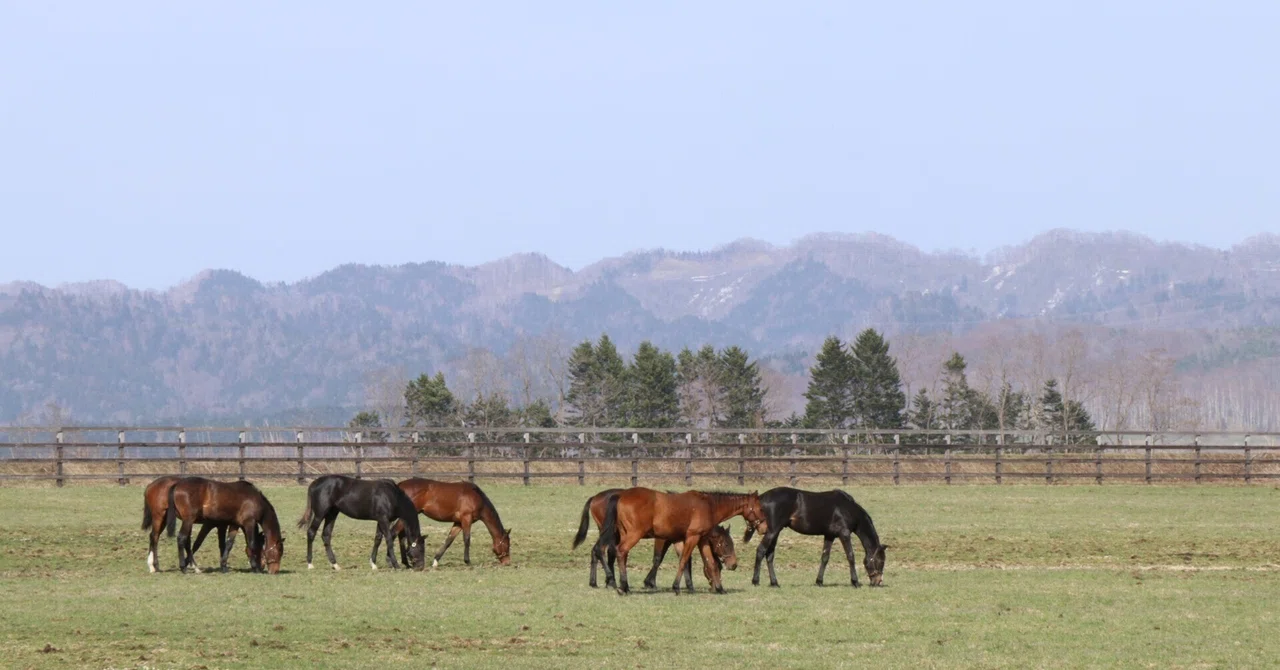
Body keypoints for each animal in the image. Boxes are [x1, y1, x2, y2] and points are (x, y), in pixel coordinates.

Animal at [297, 474, 425, 571]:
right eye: (420, 549)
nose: (421, 567)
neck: (393, 496)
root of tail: (314, 483)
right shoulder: (384, 520)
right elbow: (388, 539)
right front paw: (396, 565)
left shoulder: (381, 520)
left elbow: (378, 539)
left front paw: (373, 564)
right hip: (320, 514)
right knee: (311, 532)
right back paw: (310, 564)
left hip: (332, 514)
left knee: (326, 535)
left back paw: (335, 565)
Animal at [382, 478, 510, 567]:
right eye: (507, 545)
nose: (507, 562)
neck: (476, 497)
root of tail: (399, 486)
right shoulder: (466, 519)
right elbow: (467, 540)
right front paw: (468, 561)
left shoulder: (458, 523)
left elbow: (449, 540)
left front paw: (435, 561)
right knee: (393, 533)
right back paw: (390, 561)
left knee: (399, 535)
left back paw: (405, 563)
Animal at [571, 488, 739, 590]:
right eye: (726, 544)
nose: (733, 565)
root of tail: (595, 497)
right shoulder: (662, 539)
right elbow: (659, 558)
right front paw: (650, 582)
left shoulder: (676, 539)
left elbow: (684, 559)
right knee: (605, 551)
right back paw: (612, 581)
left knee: (598, 551)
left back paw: (598, 582)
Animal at [598, 487, 767, 595]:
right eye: (760, 508)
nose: (764, 527)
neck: (709, 506)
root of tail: (621, 496)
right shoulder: (692, 537)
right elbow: (684, 560)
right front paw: (676, 587)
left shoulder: (701, 539)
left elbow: (711, 563)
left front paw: (719, 589)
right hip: (634, 534)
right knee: (621, 551)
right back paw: (622, 587)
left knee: (620, 553)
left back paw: (623, 586)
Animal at [743, 487, 887, 588]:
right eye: (880, 561)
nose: (877, 582)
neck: (848, 509)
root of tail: (760, 498)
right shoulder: (844, 534)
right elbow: (850, 556)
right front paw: (855, 582)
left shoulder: (829, 535)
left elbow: (825, 558)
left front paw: (819, 581)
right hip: (772, 531)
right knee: (761, 550)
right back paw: (755, 581)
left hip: (775, 532)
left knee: (769, 555)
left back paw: (774, 583)